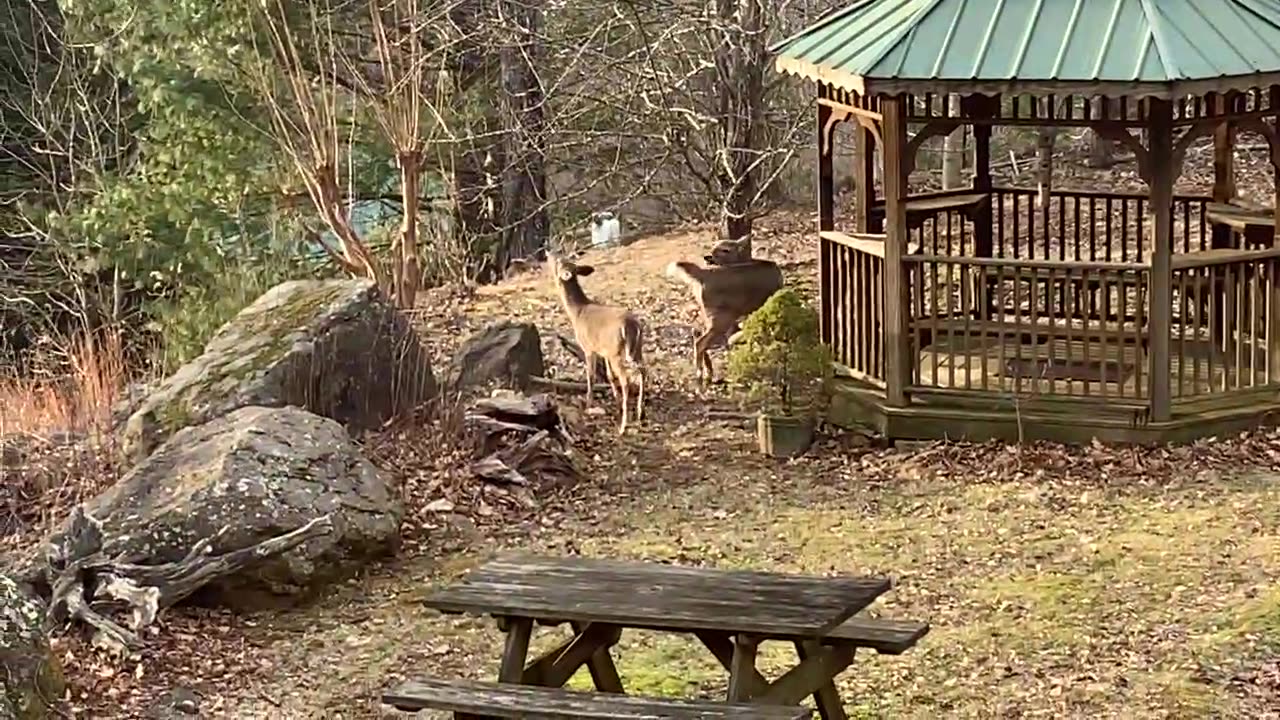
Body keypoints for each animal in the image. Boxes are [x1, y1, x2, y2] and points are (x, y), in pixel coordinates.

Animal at [545, 252, 645, 430]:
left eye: (559, 262)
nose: (548, 253)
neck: (577, 311)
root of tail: (632, 326)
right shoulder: (603, 351)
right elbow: (609, 375)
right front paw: (616, 401)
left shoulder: (588, 348)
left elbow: (590, 375)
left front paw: (588, 403)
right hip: (635, 349)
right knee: (642, 371)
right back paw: (640, 413)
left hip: (617, 353)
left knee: (626, 380)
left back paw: (623, 426)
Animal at [665, 234, 783, 381]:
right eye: (714, 246)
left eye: (725, 249)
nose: (708, 257)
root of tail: (702, 276)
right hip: (722, 317)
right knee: (700, 342)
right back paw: (700, 373)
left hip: (709, 313)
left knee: (697, 333)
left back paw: (708, 371)